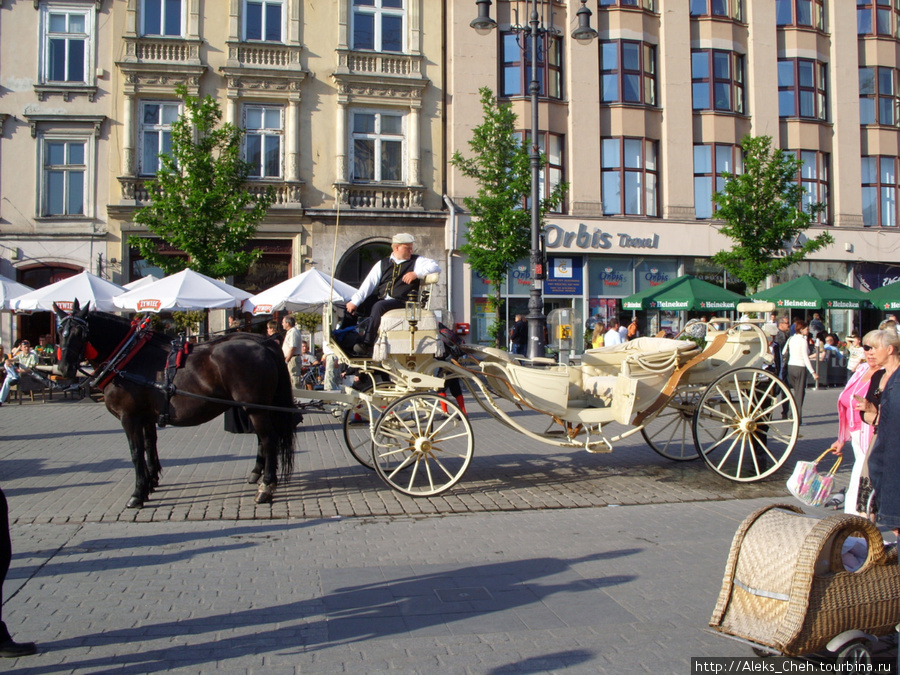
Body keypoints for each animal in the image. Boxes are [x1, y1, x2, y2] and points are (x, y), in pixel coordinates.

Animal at [54, 302, 296, 508]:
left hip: (256, 408)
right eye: (60, 331)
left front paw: (138, 493)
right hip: (259, 408)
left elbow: (136, 452)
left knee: (268, 440)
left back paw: (266, 487)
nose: (65, 367)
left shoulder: (129, 417)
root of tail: (264, 345)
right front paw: (151, 482)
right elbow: (149, 446)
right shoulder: (146, 417)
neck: (128, 356)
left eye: (81, 333)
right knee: (263, 439)